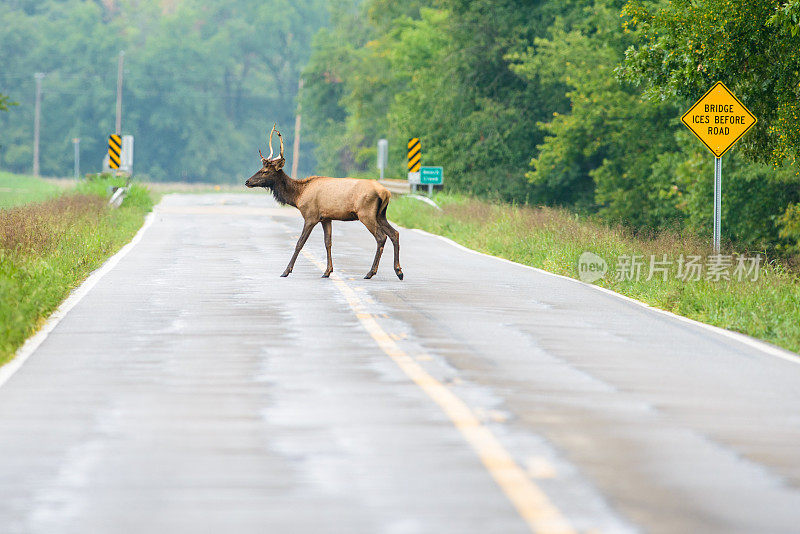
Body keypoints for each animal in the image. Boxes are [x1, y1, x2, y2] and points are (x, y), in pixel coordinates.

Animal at [244, 126, 404, 282]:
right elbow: (328, 242)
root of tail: (386, 192)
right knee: (394, 233)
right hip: (380, 214)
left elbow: (299, 242)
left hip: (366, 213)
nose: (247, 181)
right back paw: (399, 271)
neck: (298, 196)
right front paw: (327, 271)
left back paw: (371, 272)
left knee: (381, 237)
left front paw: (286, 271)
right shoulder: (326, 218)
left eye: (265, 171)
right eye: (261, 169)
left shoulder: (311, 216)